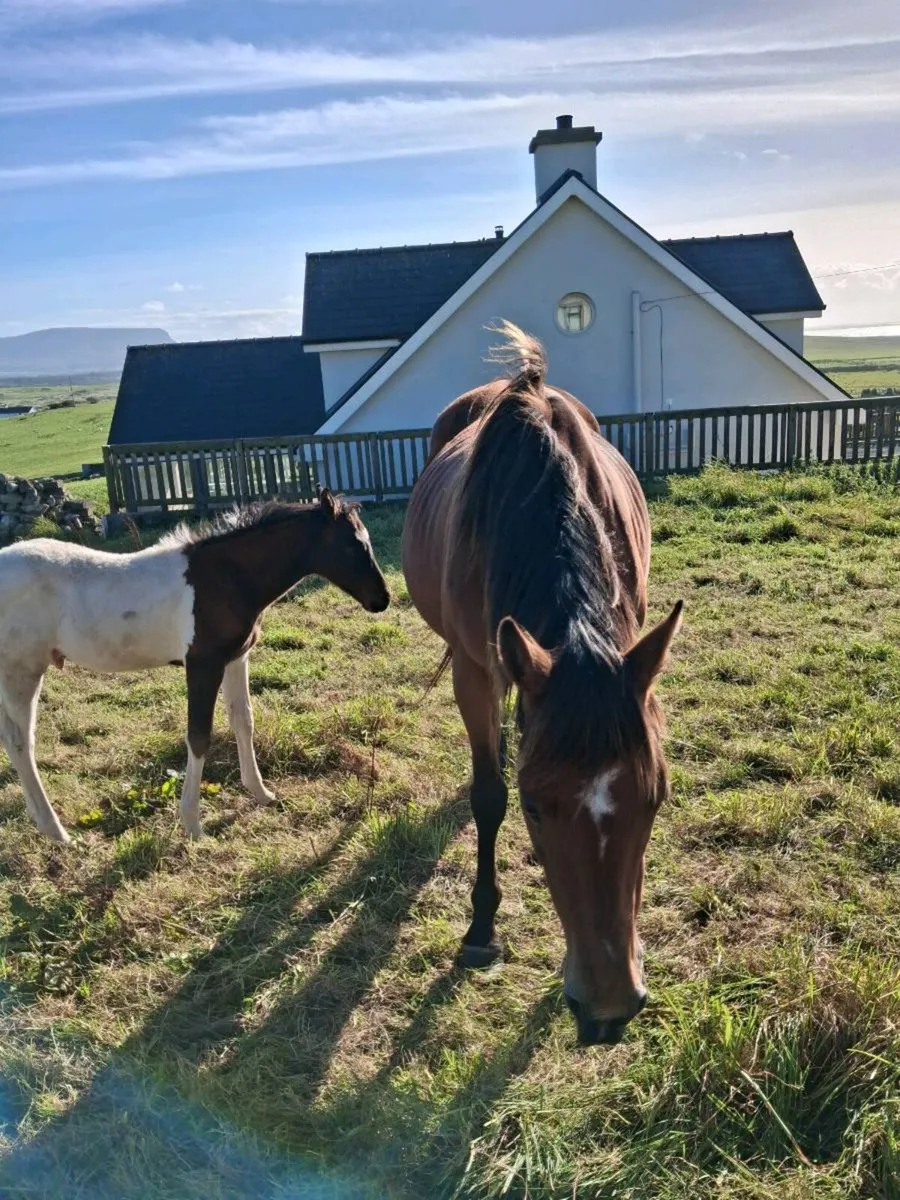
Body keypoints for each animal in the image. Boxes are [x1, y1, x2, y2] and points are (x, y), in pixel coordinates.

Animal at [0, 488, 389, 844]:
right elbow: (199, 735)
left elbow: (243, 720)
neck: (225, 577)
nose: (382, 600)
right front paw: (192, 823)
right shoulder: (203, 664)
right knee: (21, 742)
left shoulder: (235, 658)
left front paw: (260, 792)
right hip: (21, 671)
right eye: (353, 545)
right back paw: (56, 831)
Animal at [402, 323, 682, 1046]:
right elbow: (488, 795)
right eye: (535, 807)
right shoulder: (475, 671)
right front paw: (481, 928)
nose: (609, 1010)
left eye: (657, 799)